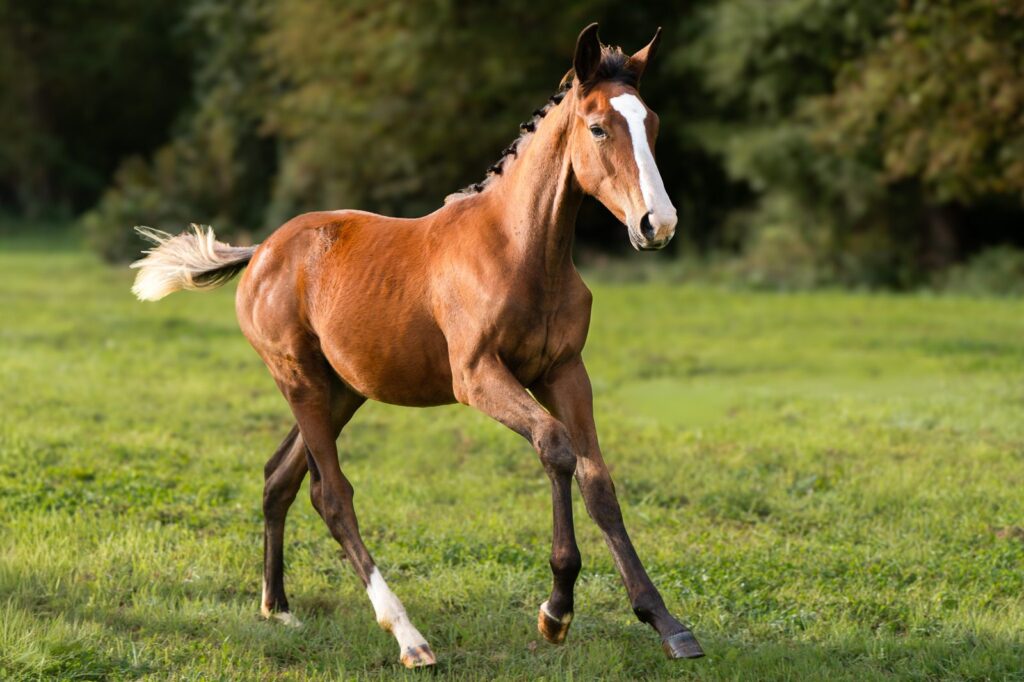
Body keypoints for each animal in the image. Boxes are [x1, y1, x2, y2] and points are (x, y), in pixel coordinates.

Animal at [130, 23, 704, 668]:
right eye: (599, 127)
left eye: (652, 123)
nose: (657, 224)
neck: (523, 251)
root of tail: (262, 251)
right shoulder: (477, 376)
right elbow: (556, 448)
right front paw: (556, 611)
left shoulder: (564, 371)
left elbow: (597, 480)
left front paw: (666, 622)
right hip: (298, 380)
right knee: (332, 495)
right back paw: (408, 636)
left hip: (341, 391)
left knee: (280, 477)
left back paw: (277, 607)